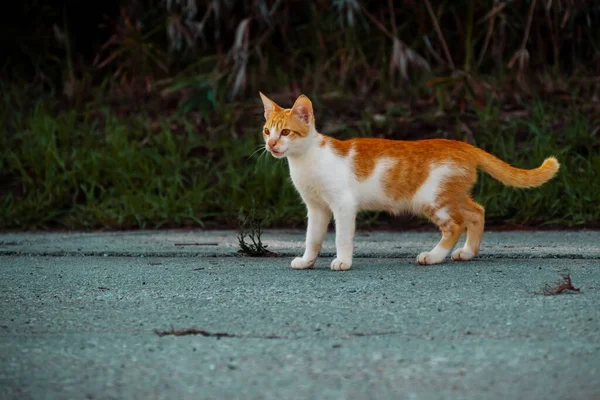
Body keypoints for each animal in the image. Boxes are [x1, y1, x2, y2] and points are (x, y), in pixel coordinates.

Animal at [260, 92, 560, 270]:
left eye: (285, 132)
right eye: (266, 130)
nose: (271, 144)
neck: (306, 160)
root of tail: (463, 145)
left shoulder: (343, 205)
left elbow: (342, 237)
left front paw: (343, 261)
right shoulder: (317, 208)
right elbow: (312, 237)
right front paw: (307, 261)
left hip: (431, 199)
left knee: (455, 225)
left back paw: (434, 256)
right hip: (452, 194)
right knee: (477, 213)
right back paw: (467, 253)